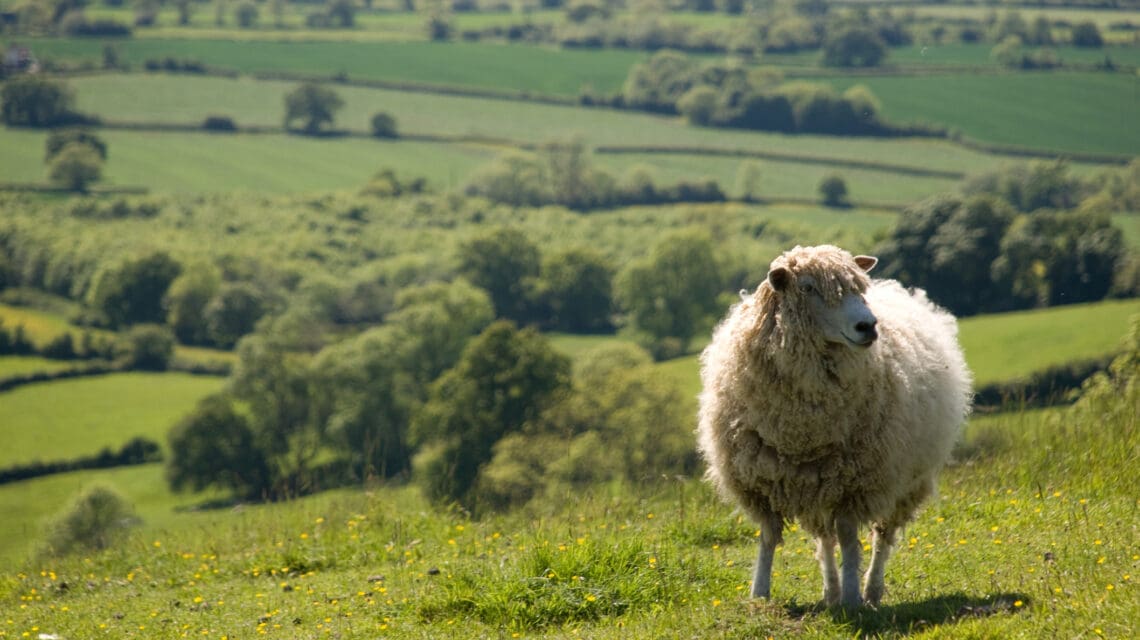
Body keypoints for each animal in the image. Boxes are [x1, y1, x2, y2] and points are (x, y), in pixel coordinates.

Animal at [696, 244, 972, 608]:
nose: (868, 326)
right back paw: (830, 591)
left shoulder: (856, 482)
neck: (802, 427)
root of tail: (900, 290)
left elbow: (850, 538)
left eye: (858, 287)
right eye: (808, 288)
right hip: (814, 481)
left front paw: (853, 596)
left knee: (882, 536)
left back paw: (871, 590)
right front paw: (760, 594)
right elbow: (769, 535)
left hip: (905, 480)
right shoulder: (761, 481)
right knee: (824, 539)